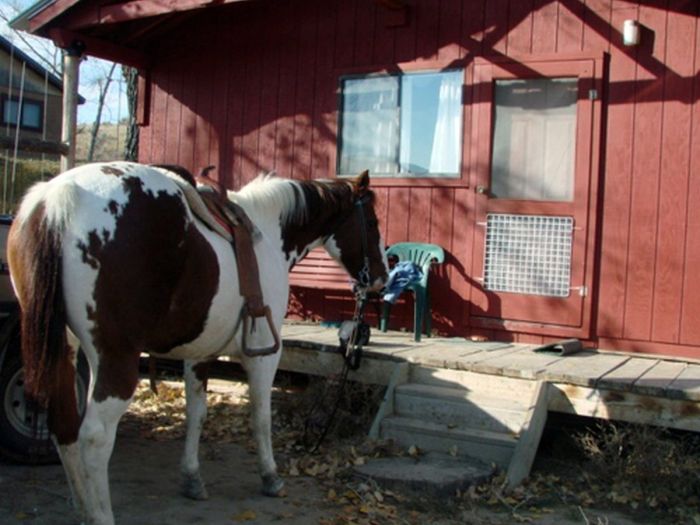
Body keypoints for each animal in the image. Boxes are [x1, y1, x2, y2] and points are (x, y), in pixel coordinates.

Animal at [6, 161, 388, 524]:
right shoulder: (264, 355)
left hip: (64, 350)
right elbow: (260, 417)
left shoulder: (199, 352)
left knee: (64, 426)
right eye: (371, 222)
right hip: (115, 359)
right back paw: (100, 515)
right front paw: (270, 476)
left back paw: (83, 507)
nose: (381, 279)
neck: (269, 233)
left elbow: (196, 414)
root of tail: (55, 201)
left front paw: (192, 478)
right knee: (95, 437)